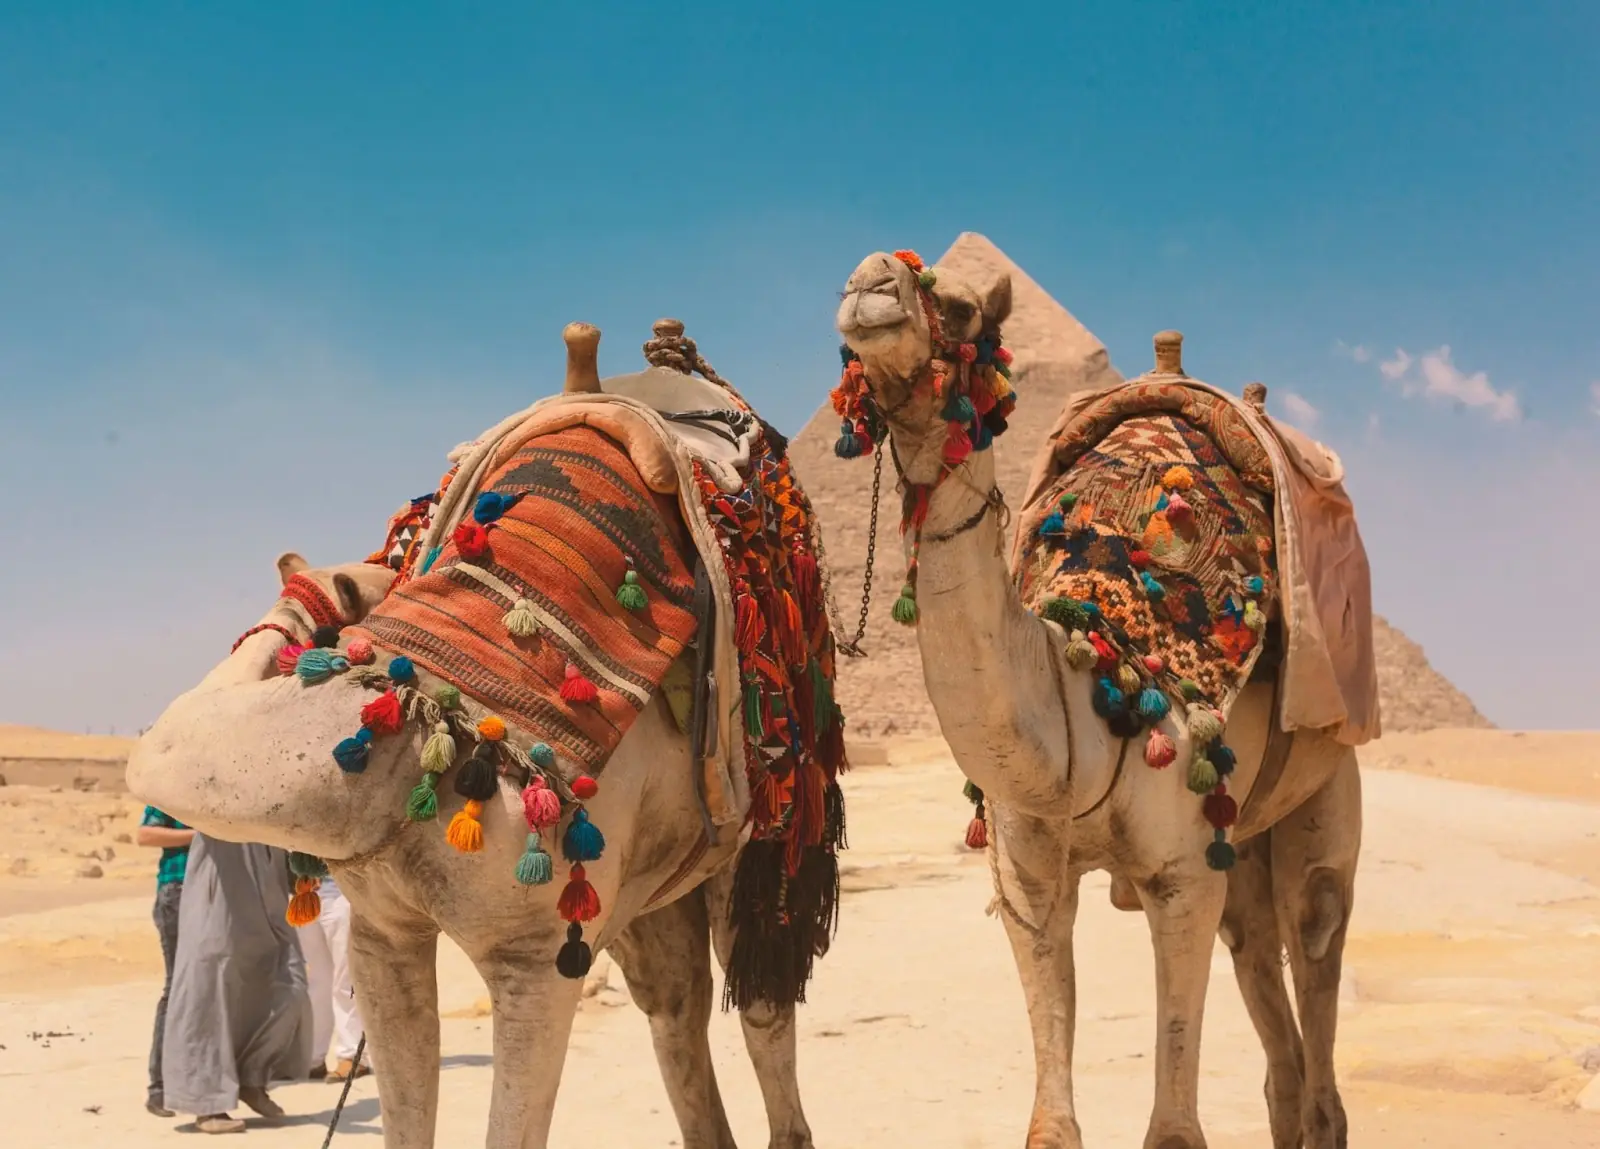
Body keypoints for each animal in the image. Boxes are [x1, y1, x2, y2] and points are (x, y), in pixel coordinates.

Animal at [126, 327, 827, 1149]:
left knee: (761, 993)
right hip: (648, 877)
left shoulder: (536, 956)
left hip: (759, 827)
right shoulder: (382, 933)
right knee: (675, 998)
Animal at [834, 250, 1363, 1149]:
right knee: (1262, 965)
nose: (869, 284)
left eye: (963, 308)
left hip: (1328, 779)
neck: (1092, 684)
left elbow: (1176, 1130)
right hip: (1242, 840)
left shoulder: (1183, 873)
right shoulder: (1028, 872)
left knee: (1316, 929)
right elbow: (1051, 1123)